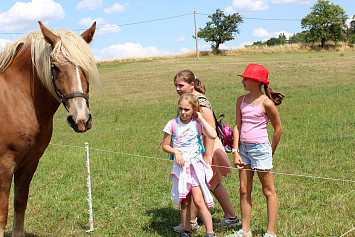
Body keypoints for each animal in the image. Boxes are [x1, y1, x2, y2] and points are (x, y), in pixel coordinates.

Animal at [0, 21, 100, 236]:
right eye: (54, 67)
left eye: (86, 65)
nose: (80, 119)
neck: (15, 98)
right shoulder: (4, 166)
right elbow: (2, 214)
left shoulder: (29, 163)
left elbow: (20, 205)